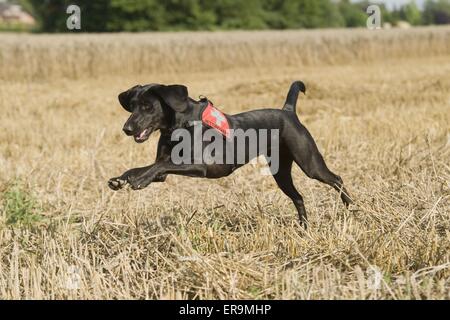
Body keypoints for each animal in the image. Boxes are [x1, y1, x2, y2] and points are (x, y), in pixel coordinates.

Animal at [108, 82, 352, 228]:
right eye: (132, 106)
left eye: (148, 106)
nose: (127, 129)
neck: (180, 124)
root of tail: (288, 112)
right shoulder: (164, 171)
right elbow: (150, 167)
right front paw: (122, 179)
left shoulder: (201, 165)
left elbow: (159, 166)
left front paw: (138, 180)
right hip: (281, 172)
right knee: (298, 197)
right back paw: (304, 228)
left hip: (309, 163)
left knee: (337, 179)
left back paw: (351, 208)